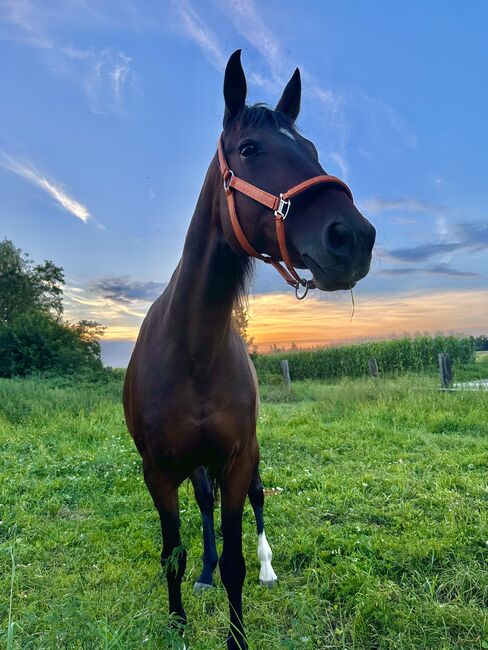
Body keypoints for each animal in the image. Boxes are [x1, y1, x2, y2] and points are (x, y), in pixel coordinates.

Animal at [124, 50, 376, 648]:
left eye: (312, 149)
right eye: (250, 150)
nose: (353, 237)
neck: (192, 352)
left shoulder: (238, 460)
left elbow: (238, 556)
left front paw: (238, 629)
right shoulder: (158, 471)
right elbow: (173, 551)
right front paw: (180, 619)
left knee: (258, 502)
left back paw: (266, 565)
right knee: (204, 507)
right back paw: (205, 572)